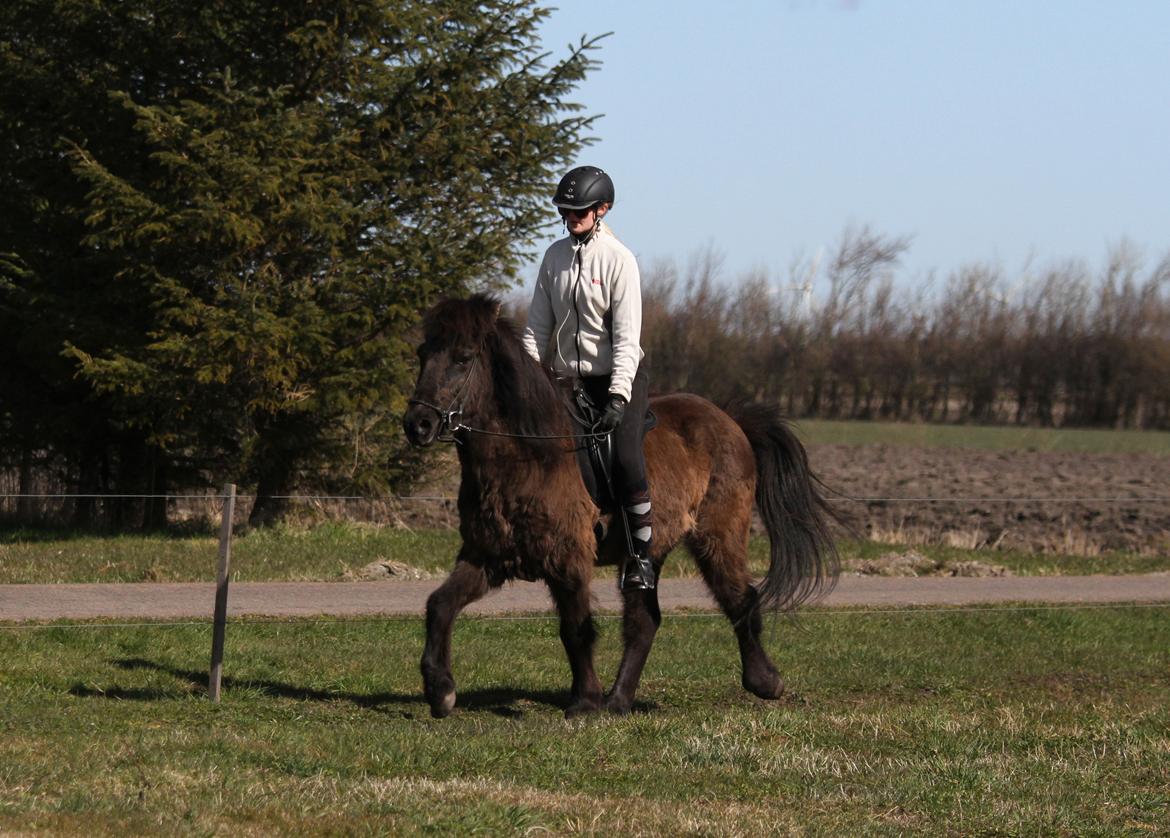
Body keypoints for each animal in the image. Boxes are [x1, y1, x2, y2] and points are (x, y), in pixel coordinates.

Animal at [402, 291, 842, 716]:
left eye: (462, 358)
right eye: (422, 353)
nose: (417, 425)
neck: (528, 452)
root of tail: (730, 420)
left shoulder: (568, 558)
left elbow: (576, 628)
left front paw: (584, 702)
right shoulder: (487, 555)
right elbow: (439, 605)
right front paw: (440, 691)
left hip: (719, 536)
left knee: (739, 598)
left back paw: (764, 681)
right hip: (649, 551)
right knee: (645, 619)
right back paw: (619, 700)